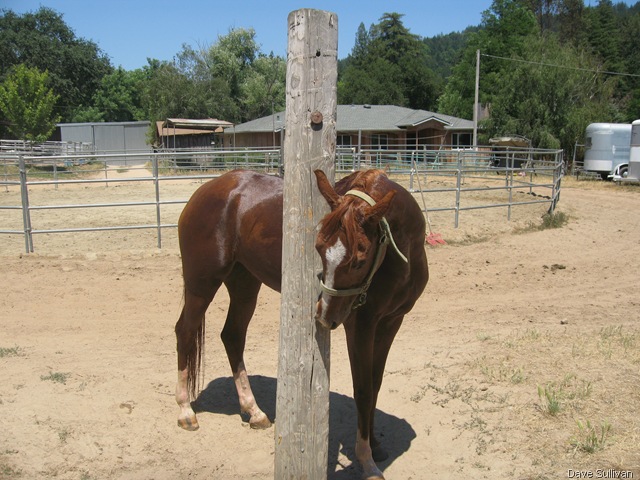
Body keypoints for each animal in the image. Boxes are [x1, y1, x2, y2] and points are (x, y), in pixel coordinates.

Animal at [174, 168, 429, 479]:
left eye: (359, 259)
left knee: (232, 336)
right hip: (202, 284)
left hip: (244, 282)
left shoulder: (391, 322)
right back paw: (186, 412)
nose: (324, 313)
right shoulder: (361, 326)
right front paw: (366, 460)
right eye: (318, 247)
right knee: (185, 333)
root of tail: (207, 190)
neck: (400, 255)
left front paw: (376, 446)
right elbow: (363, 389)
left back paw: (254, 410)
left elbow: (375, 383)